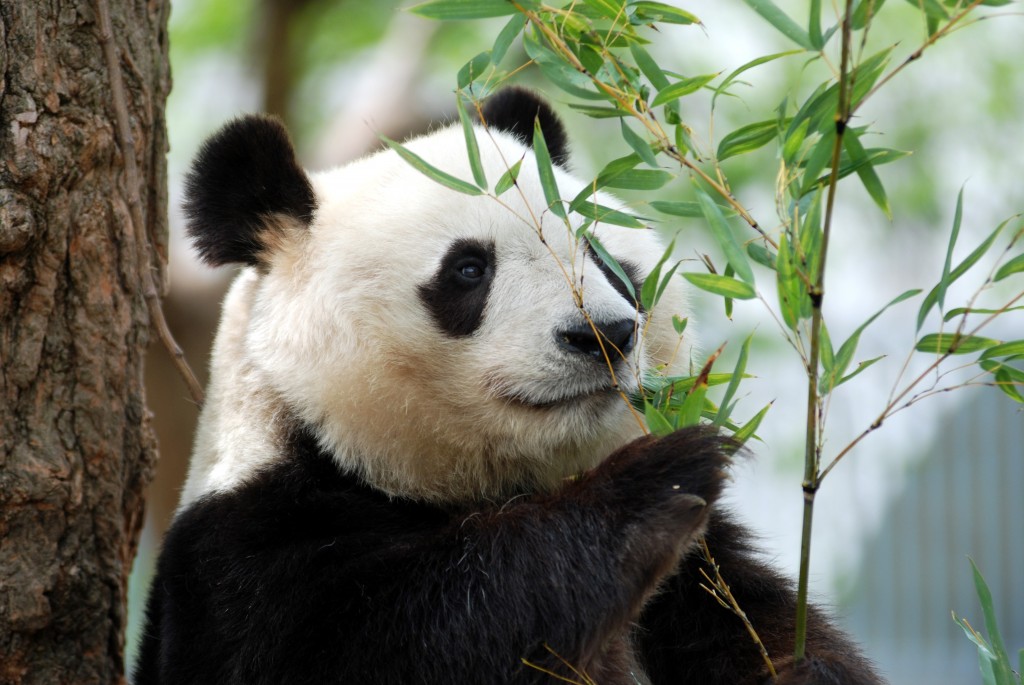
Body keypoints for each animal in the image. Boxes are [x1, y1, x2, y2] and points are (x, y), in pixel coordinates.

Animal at [136, 88, 884, 679]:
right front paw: (661, 480)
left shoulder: (698, 578)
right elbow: (432, 633)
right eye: (469, 270)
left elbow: (768, 638)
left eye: (603, 257)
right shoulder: (248, 559)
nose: (604, 334)